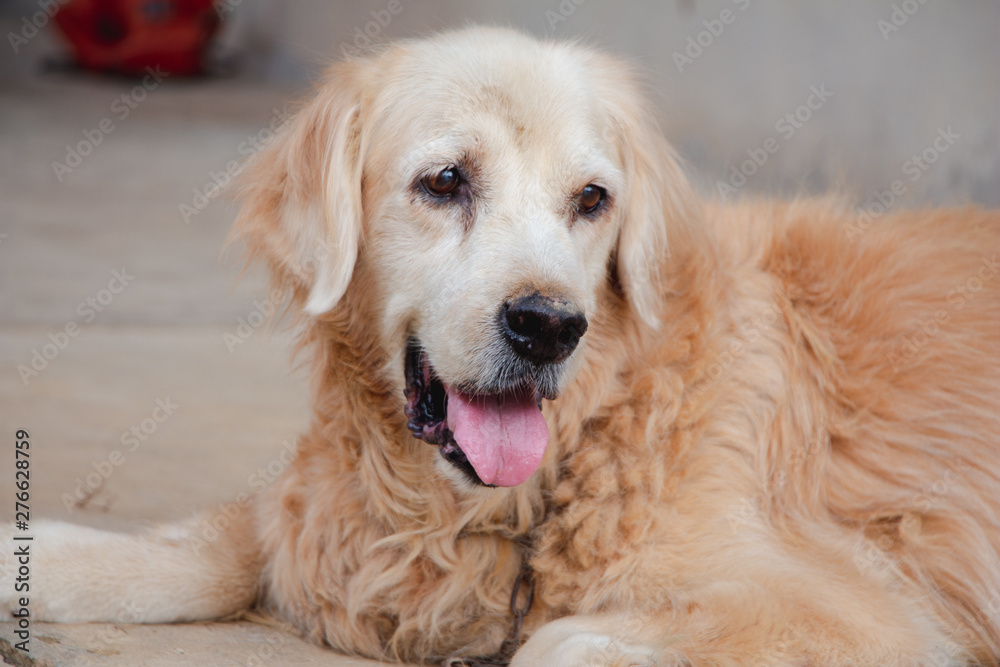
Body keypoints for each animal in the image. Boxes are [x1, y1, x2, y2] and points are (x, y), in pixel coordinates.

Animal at [1, 27, 1000, 667]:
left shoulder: (868, 613)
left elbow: (564, 643)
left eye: (592, 198)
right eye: (445, 180)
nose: (550, 323)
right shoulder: (338, 518)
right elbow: (229, 538)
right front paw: (43, 553)